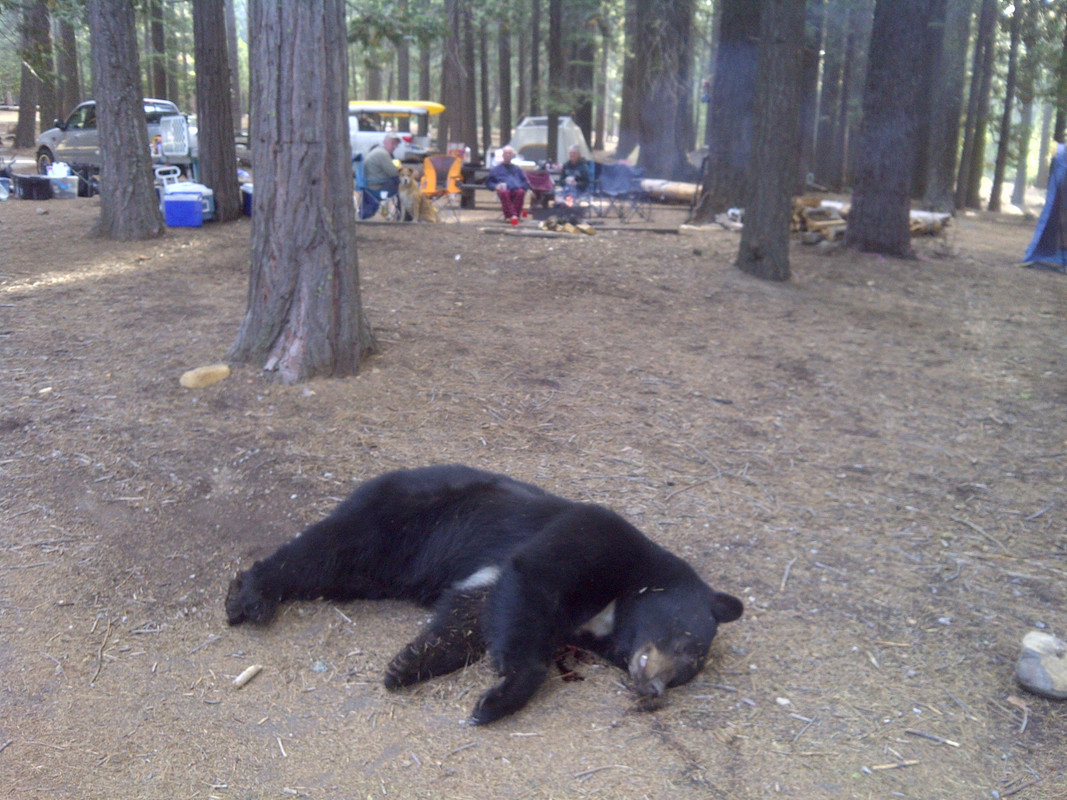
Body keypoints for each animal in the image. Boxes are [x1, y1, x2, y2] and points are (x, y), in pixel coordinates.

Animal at [225, 464, 743, 724]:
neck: (615, 604)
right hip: (401, 517)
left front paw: (407, 665)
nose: (654, 688)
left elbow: (475, 612)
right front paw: (496, 701)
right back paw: (249, 595)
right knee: (325, 549)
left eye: (688, 671)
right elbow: (531, 580)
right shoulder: (595, 536)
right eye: (687, 643)